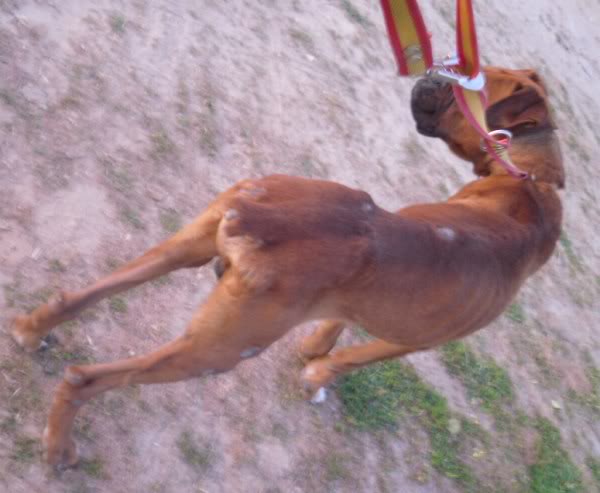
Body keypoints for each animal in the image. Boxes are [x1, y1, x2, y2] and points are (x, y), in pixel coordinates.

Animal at [8, 66, 564, 468]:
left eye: (472, 80)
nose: (433, 72)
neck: (531, 185)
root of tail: (265, 215)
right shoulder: (420, 339)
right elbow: (353, 357)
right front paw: (317, 374)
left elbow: (340, 322)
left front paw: (315, 347)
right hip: (219, 352)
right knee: (84, 379)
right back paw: (59, 450)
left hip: (188, 246)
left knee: (76, 298)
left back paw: (31, 332)